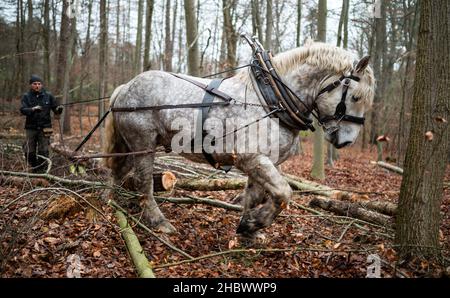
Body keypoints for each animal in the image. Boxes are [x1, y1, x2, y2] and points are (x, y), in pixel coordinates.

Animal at [103, 40, 374, 239]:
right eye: (356, 97)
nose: (347, 141)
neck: (271, 100)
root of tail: (125, 88)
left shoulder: (264, 162)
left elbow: (257, 195)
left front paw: (248, 229)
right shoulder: (252, 158)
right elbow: (284, 193)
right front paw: (255, 222)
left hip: (130, 146)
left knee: (119, 171)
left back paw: (110, 204)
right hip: (143, 144)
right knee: (143, 181)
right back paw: (158, 222)